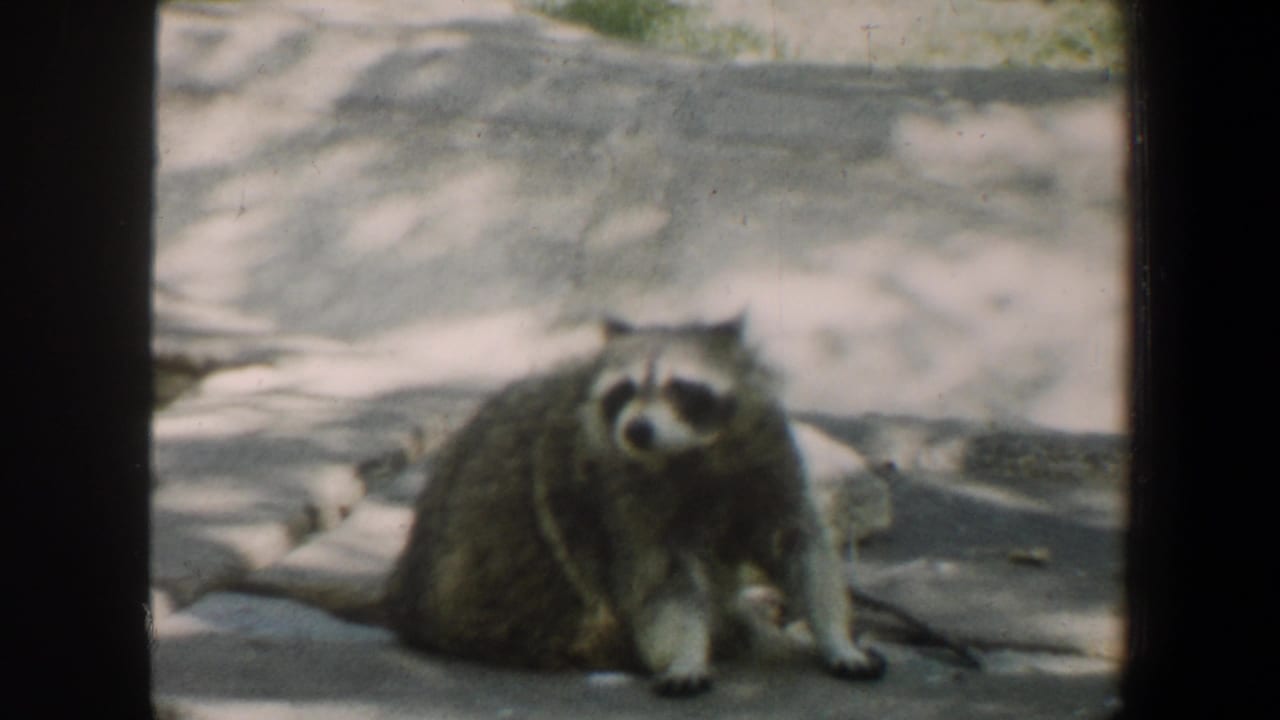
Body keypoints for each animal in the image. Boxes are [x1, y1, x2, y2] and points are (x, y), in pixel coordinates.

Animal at [383, 316, 887, 696]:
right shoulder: (622, 495)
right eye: (623, 391)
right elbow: (660, 582)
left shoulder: (766, 459)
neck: (689, 453)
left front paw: (835, 636)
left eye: (680, 388)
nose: (637, 429)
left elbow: (800, 546)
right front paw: (684, 654)